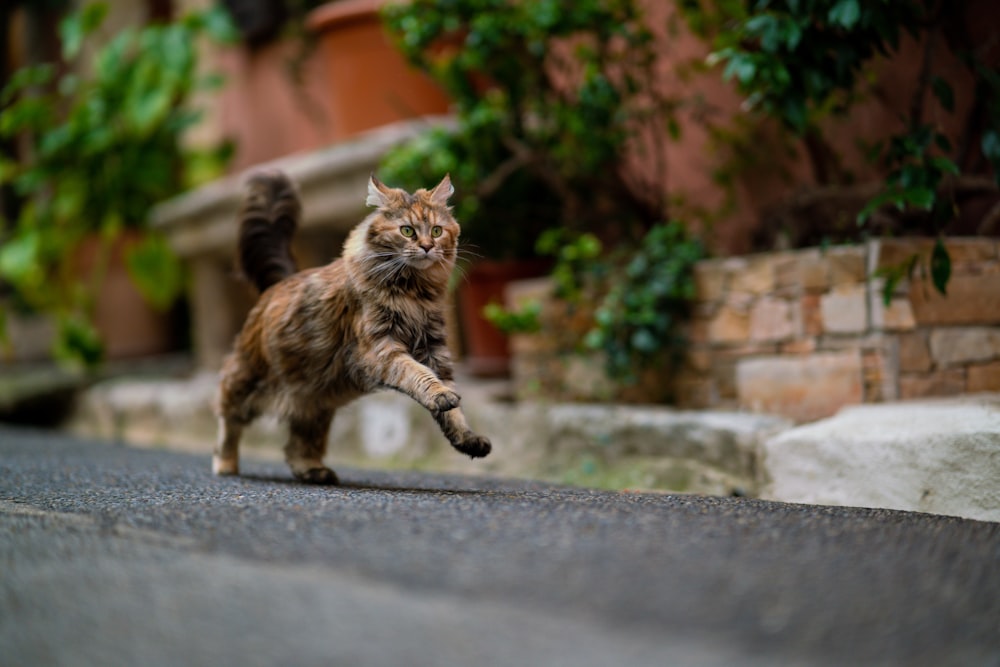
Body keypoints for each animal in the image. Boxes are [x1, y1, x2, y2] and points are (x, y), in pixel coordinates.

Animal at [215, 172, 492, 486]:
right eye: (407, 231)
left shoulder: (435, 350)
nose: (426, 247)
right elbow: (418, 375)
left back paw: (313, 470)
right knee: (227, 414)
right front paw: (439, 396)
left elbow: (453, 408)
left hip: (314, 398)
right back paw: (225, 463)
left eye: (436, 231)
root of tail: (280, 283)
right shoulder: (380, 349)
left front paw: (467, 438)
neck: (414, 294)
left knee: (297, 444)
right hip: (250, 380)